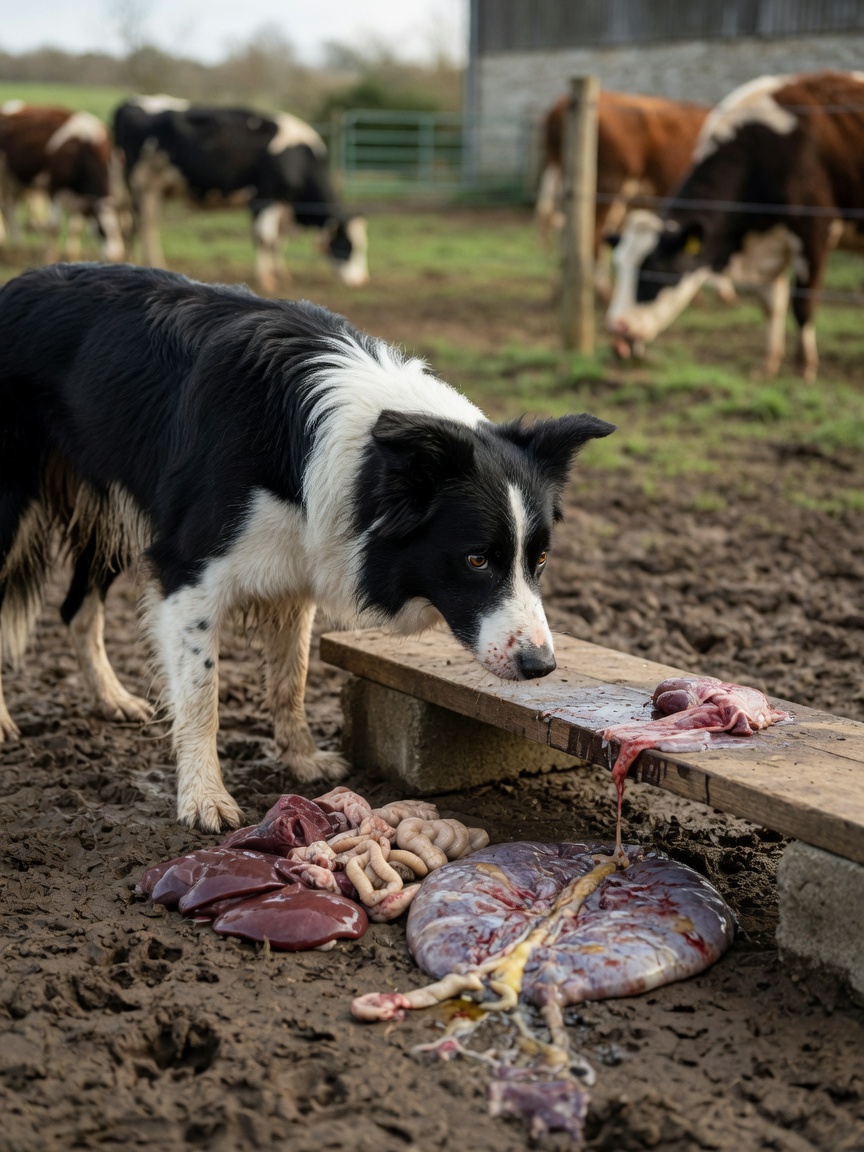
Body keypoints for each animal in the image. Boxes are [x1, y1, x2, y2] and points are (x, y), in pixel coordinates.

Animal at [0, 102, 124, 262]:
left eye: (121, 229)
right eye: (101, 229)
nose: (116, 255)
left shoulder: (80, 198)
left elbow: (75, 229)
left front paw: (72, 256)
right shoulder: (54, 187)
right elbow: (54, 227)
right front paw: (48, 257)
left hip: (14, 181)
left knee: (10, 206)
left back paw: (17, 245)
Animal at [112, 96, 369, 292]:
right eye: (347, 245)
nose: (361, 281)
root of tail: (131, 102)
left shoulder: (282, 204)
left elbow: (278, 240)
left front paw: (282, 274)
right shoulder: (265, 198)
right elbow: (265, 238)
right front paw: (267, 280)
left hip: (156, 190)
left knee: (144, 226)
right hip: (142, 187)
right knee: (143, 226)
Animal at [605, 72, 864, 380]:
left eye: (656, 270)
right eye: (619, 267)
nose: (617, 326)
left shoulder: (814, 233)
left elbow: (803, 304)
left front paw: (804, 366)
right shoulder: (767, 248)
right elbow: (770, 305)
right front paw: (768, 364)